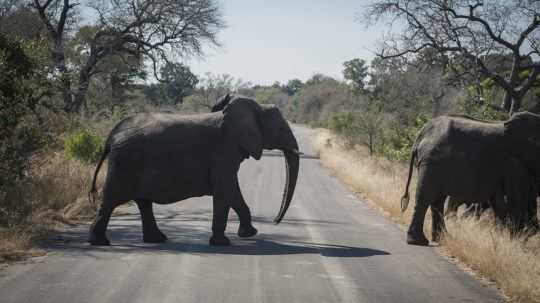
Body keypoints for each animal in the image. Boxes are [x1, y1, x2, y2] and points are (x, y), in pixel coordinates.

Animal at [86, 95, 302, 247]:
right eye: (281, 129)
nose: (275, 222)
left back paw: (157, 239)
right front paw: (223, 243)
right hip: (125, 162)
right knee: (111, 200)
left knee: (143, 202)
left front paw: (249, 234)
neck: (255, 107)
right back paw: (100, 242)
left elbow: (233, 191)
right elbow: (226, 190)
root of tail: (111, 136)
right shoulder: (224, 150)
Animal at [400, 113, 540, 246]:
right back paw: (419, 241)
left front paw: (502, 241)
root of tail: (421, 134)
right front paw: (511, 243)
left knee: (437, 201)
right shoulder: (515, 164)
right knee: (426, 197)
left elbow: (502, 204)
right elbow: (517, 202)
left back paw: (443, 239)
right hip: (431, 161)